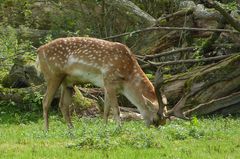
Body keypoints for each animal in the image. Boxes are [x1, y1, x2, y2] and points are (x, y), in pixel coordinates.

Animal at [36, 37, 167, 130]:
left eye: (163, 122)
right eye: (155, 120)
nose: (151, 128)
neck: (127, 78)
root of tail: (39, 50)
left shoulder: (107, 85)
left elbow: (106, 109)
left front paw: (104, 127)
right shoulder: (109, 79)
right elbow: (116, 108)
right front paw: (120, 128)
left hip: (67, 82)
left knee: (63, 104)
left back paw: (71, 129)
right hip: (53, 75)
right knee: (46, 101)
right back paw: (46, 130)